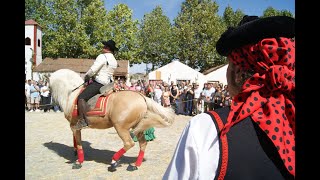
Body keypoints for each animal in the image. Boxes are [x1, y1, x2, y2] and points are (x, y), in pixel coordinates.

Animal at [47, 69, 175, 172]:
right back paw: (135, 165)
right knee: (143, 144)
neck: (72, 94)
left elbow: (78, 143)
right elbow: (75, 140)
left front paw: (79, 161)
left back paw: (114, 162)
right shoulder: (75, 126)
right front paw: (75, 153)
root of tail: (141, 96)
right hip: (137, 128)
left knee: (129, 143)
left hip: (121, 128)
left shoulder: (74, 126)